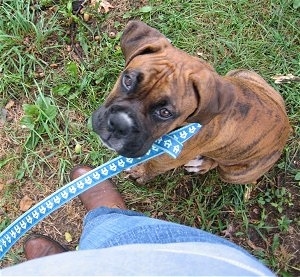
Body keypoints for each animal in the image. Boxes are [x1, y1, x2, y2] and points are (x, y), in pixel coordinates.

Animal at [92, 20, 292, 183]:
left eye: (165, 113)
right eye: (128, 80)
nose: (118, 124)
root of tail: (287, 127)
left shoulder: (165, 161)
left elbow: (151, 168)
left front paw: (140, 173)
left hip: (233, 174)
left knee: (219, 165)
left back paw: (202, 164)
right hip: (242, 74)